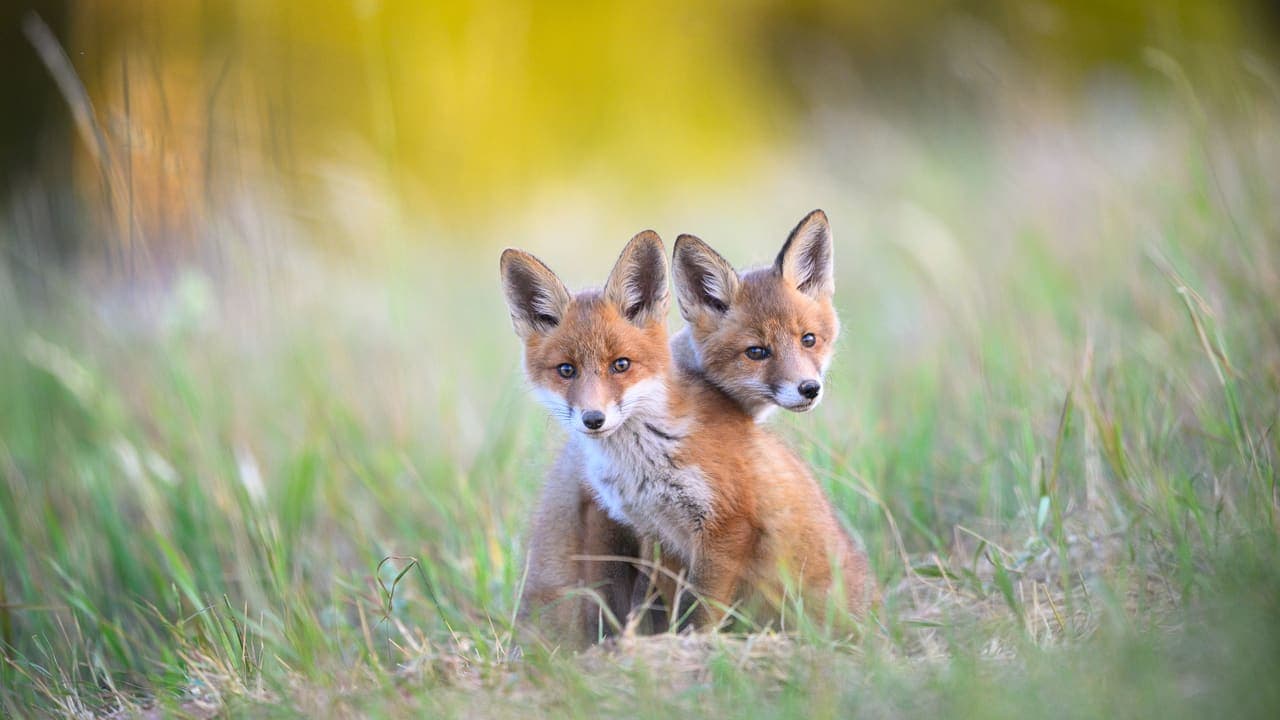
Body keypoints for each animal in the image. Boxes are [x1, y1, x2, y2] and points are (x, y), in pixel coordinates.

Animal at [501, 227, 870, 646]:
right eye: (566, 370)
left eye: (621, 365)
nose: (593, 419)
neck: (645, 454)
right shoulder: (646, 530)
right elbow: (660, 606)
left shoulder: (722, 526)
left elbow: (699, 610)